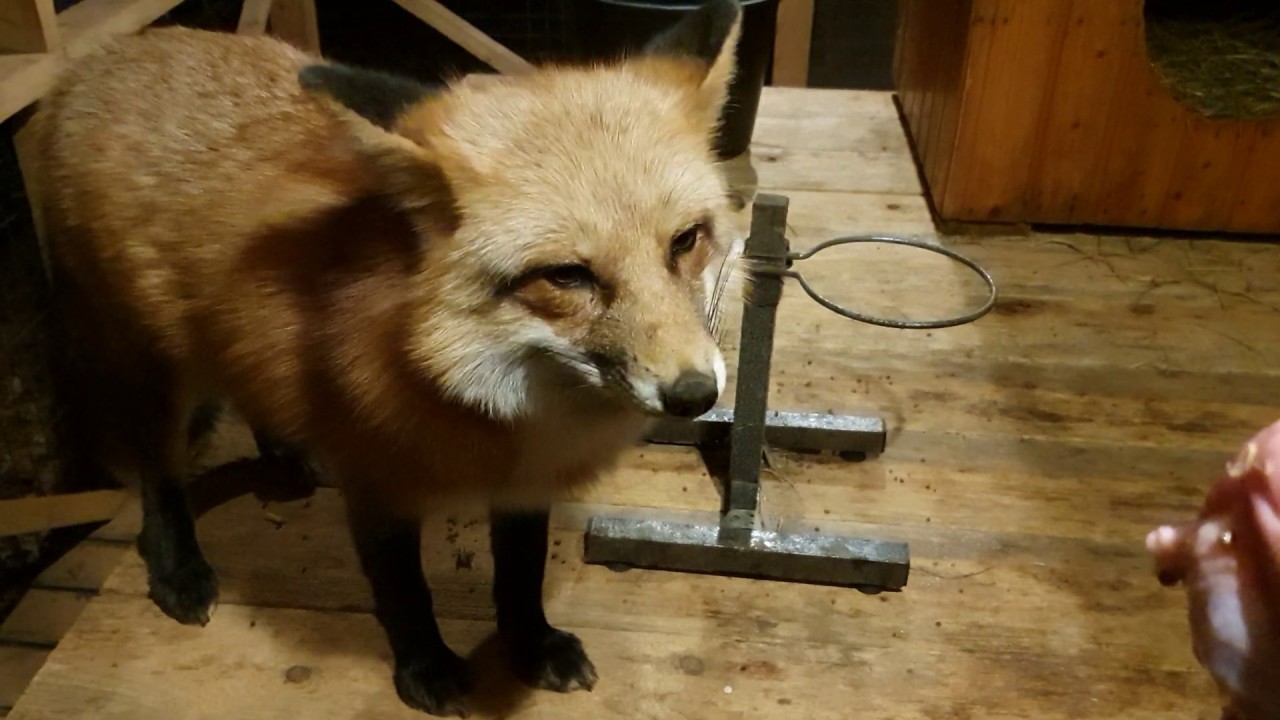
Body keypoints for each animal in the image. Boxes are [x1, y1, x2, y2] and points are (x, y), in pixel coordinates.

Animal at [29, 0, 748, 715]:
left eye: (685, 241)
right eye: (568, 276)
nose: (694, 394)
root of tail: (106, 58)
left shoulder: (524, 480)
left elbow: (521, 572)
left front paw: (530, 646)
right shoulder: (376, 479)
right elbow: (405, 590)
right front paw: (426, 668)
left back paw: (283, 455)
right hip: (152, 371)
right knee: (159, 474)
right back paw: (178, 565)